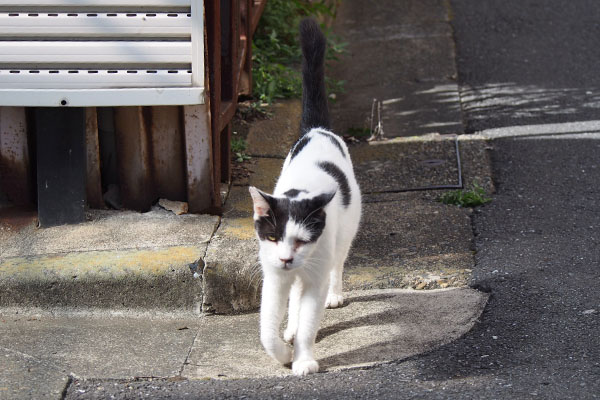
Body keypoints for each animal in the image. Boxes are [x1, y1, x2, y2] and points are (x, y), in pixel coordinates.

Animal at [248, 18, 360, 376]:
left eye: (301, 240)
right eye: (272, 237)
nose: (286, 258)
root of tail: (316, 130)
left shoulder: (314, 273)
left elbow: (310, 318)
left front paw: (303, 359)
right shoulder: (273, 277)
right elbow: (266, 330)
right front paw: (283, 350)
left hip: (344, 233)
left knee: (338, 263)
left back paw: (334, 295)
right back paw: (290, 328)